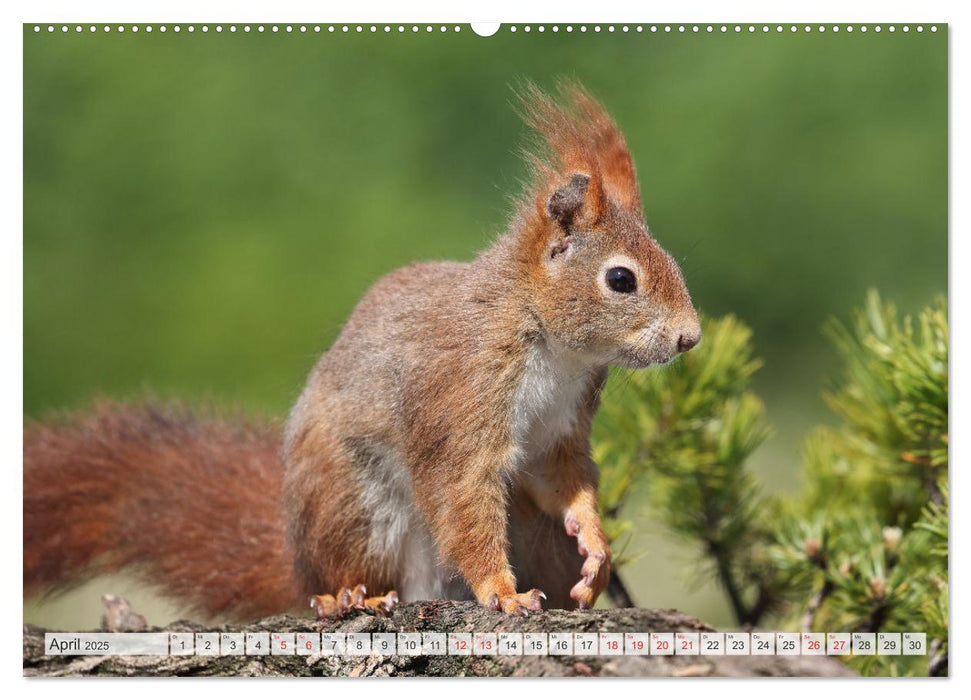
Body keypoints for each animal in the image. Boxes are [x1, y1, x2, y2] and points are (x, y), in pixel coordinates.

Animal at [20, 83, 700, 624]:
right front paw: (502, 592)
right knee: (348, 570)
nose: (690, 337)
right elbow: (462, 496)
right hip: (355, 504)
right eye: (621, 279)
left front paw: (595, 545)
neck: (553, 345)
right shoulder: (461, 394)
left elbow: (562, 481)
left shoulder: (560, 429)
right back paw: (347, 597)